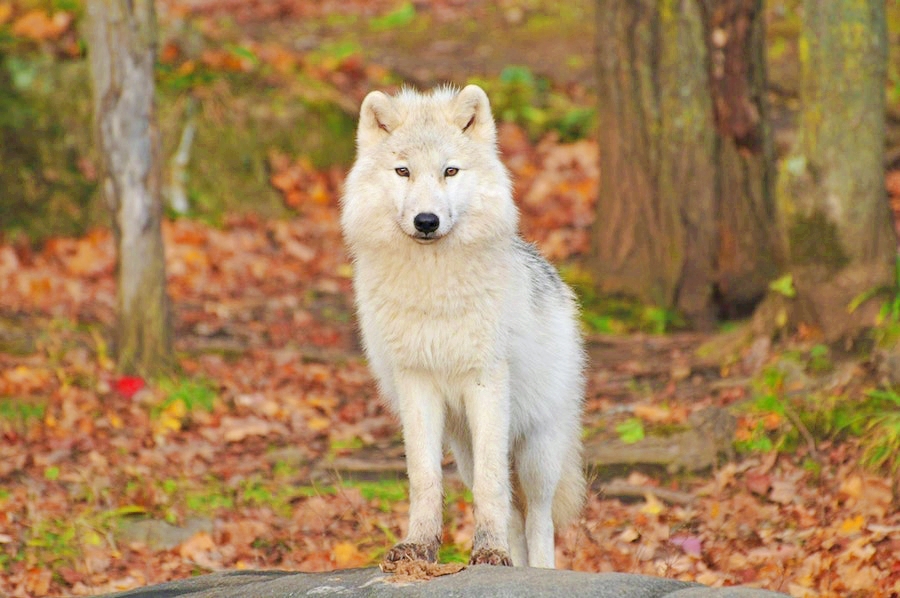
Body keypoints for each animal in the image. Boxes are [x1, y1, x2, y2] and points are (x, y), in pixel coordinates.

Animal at [342, 83, 588, 568]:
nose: (426, 221)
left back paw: (537, 569)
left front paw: (488, 550)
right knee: (513, 514)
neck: (433, 289)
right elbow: (423, 477)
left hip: (537, 451)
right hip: (463, 449)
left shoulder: (485, 381)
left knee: (539, 518)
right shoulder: (416, 381)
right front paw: (419, 546)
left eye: (450, 171)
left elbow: (494, 488)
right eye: (403, 171)